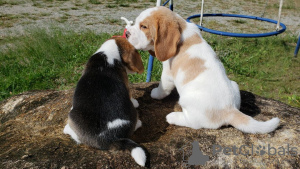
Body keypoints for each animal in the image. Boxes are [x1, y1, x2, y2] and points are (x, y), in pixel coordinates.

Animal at [125, 6, 280, 133]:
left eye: (144, 26)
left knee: (193, 123)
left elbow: (163, 88)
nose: (126, 33)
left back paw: (173, 117)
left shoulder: (168, 74)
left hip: (186, 100)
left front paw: (155, 94)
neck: (183, 29)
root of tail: (229, 110)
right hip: (235, 85)